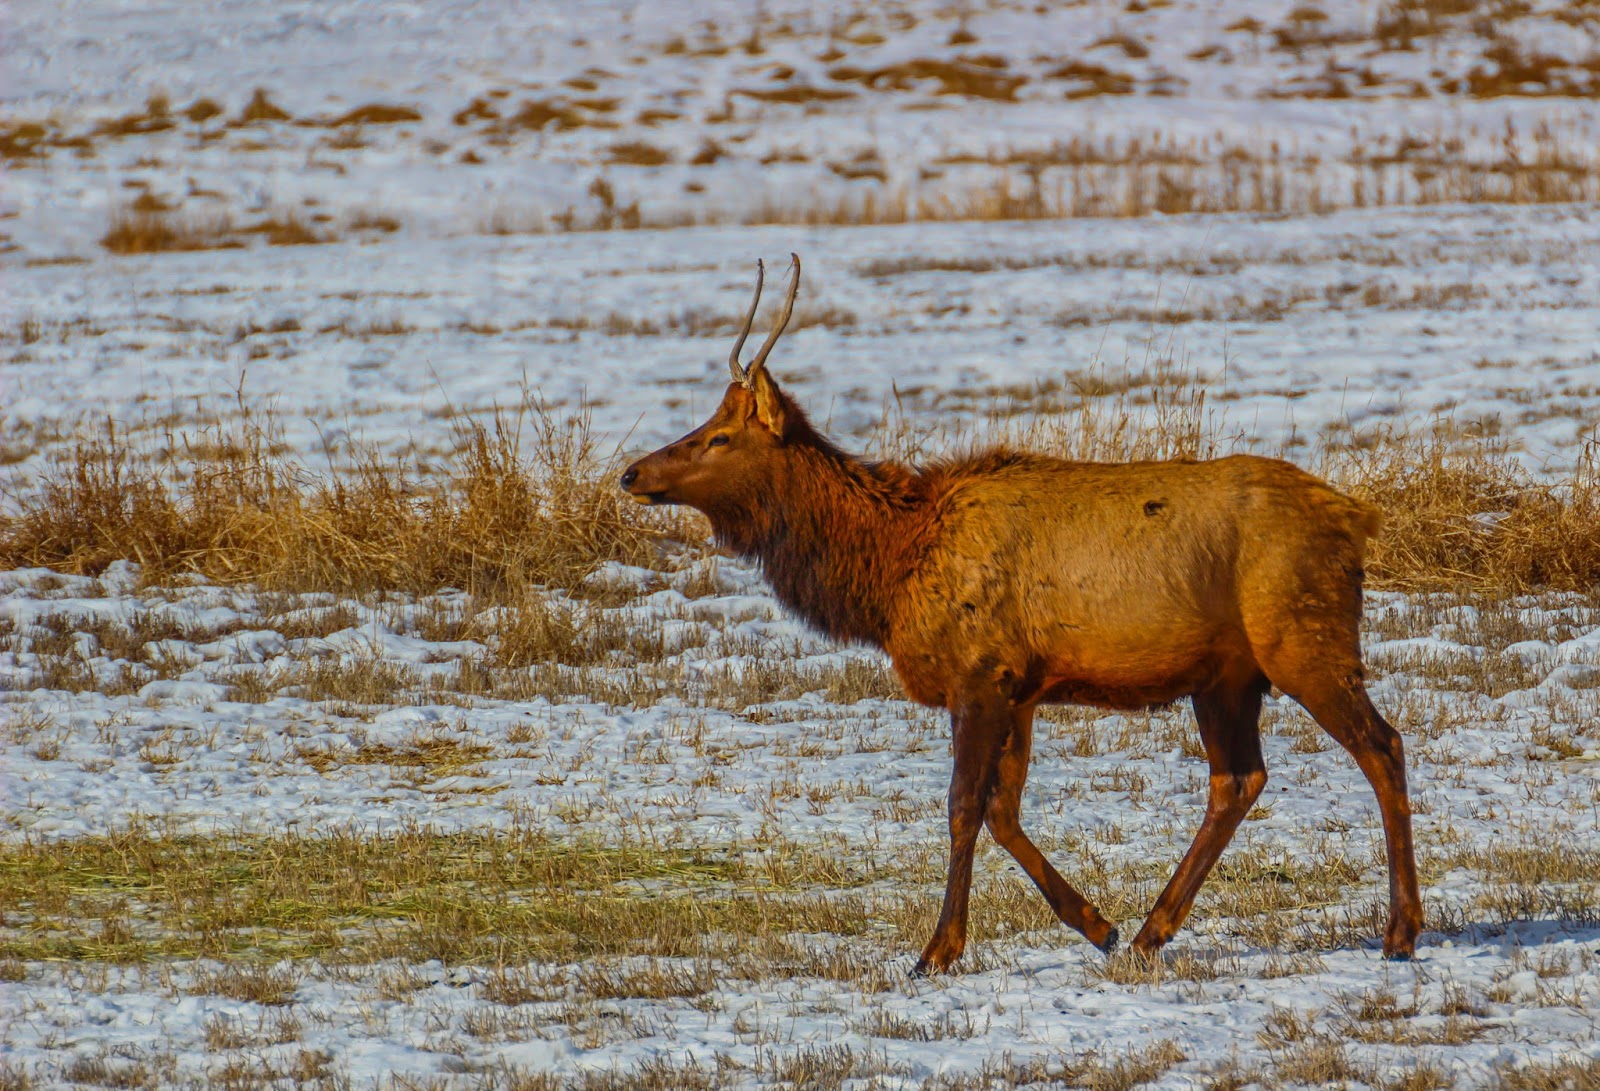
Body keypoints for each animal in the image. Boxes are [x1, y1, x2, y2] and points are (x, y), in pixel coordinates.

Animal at [620, 254, 1423, 974]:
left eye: (720, 436)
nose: (632, 471)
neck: (890, 570)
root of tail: (1357, 518)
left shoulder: (979, 673)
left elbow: (962, 806)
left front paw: (937, 949)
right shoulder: (1022, 687)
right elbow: (1004, 809)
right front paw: (1096, 923)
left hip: (1304, 639)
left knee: (1381, 746)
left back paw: (1400, 932)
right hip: (1226, 675)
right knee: (1239, 779)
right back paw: (1149, 932)